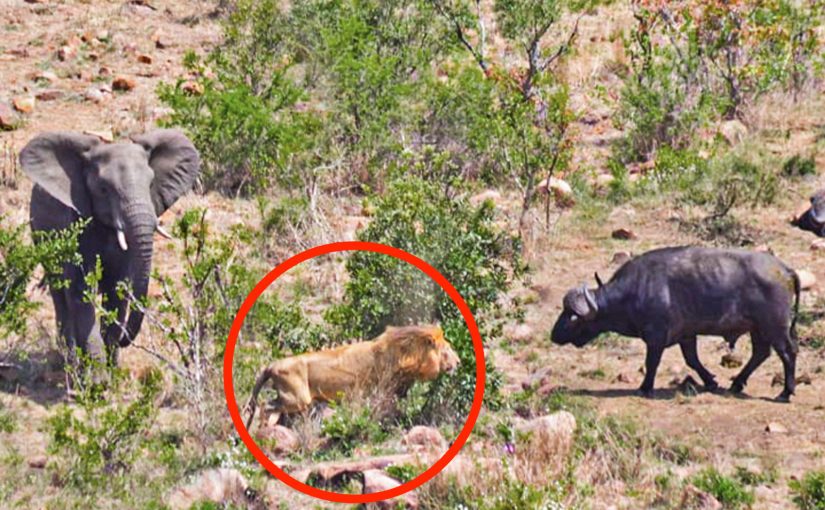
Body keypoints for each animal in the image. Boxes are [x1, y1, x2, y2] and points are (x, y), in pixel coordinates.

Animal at [20, 129, 200, 374]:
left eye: (151, 183)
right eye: (104, 189)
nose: (125, 339)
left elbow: (118, 291)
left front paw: (112, 372)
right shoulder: (76, 225)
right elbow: (82, 293)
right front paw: (98, 379)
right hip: (39, 232)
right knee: (60, 296)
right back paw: (70, 364)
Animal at [243, 325, 460, 429]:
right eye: (447, 349)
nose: (458, 362)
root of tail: (272, 364)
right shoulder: (382, 391)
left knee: (268, 405)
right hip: (297, 398)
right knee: (264, 405)